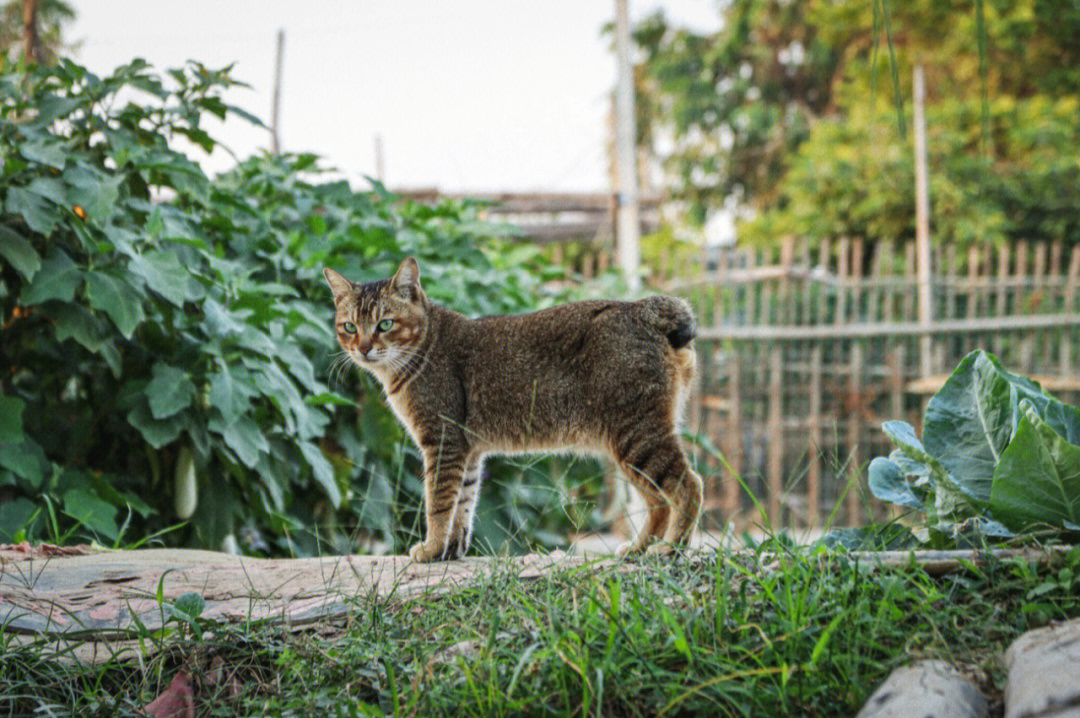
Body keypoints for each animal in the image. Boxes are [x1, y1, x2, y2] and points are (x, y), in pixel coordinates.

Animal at [324, 255, 704, 561]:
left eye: (385, 324)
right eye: (350, 326)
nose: (363, 348)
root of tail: (644, 309)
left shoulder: (443, 441)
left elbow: (438, 504)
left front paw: (431, 549)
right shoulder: (468, 452)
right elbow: (463, 504)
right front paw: (450, 550)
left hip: (636, 437)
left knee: (689, 485)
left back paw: (671, 548)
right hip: (629, 447)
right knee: (658, 502)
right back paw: (640, 548)